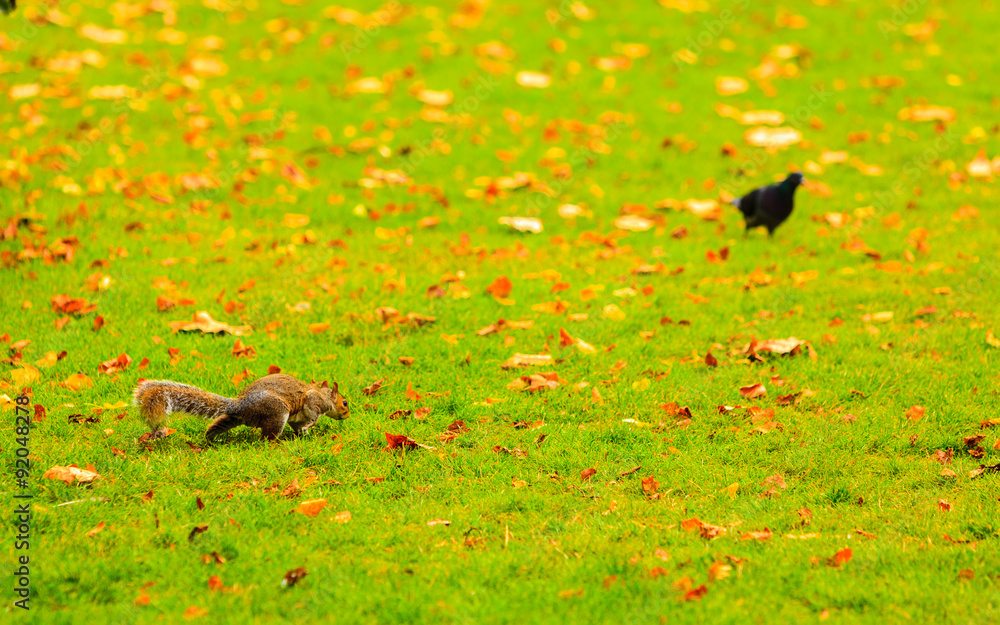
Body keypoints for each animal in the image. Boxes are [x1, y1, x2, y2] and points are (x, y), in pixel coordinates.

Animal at [132, 374, 349, 442]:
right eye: (345, 403)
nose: (348, 415)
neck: (324, 395)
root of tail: (240, 404)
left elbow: (298, 426)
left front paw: (304, 434)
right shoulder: (314, 401)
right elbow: (312, 414)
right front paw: (310, 427)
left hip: (233, 418)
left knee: (217, 425)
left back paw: (212, 439)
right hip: (278, 413)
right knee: (266, 437)